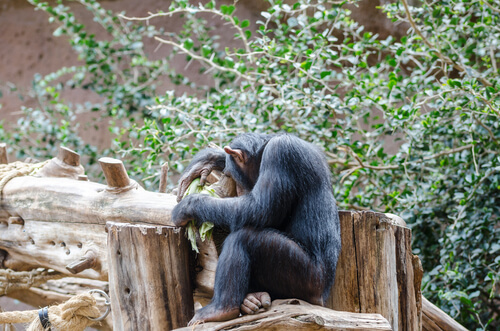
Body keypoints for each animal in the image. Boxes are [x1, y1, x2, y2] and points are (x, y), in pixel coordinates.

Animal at [171, 134, 340, 326]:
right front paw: (206, 161)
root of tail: (322, 298)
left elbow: (259, 209)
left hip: (306, 279)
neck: (263, 150)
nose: (238, 190)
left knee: (244, 238)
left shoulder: (279, 153)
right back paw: (251, 300)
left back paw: (221, 309)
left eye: (231, 175)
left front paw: (188, 206)